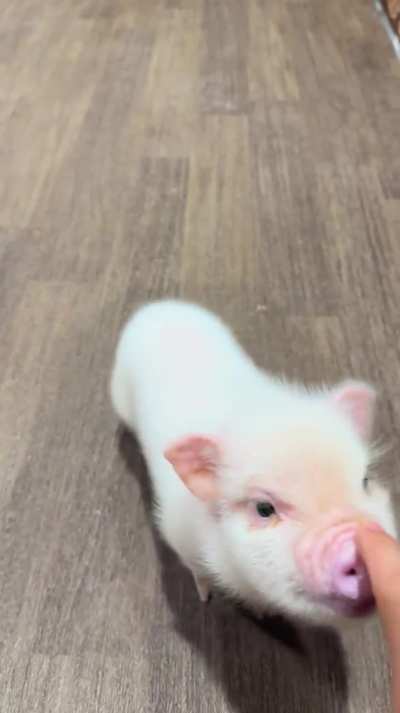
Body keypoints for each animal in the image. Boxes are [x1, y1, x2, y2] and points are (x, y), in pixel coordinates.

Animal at [110, 299, 396, 624]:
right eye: (264, 508)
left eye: (366, 480)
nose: (352, 537)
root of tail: (158, 307)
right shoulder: (176, 533)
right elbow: (198, 573)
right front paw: (206, 597)